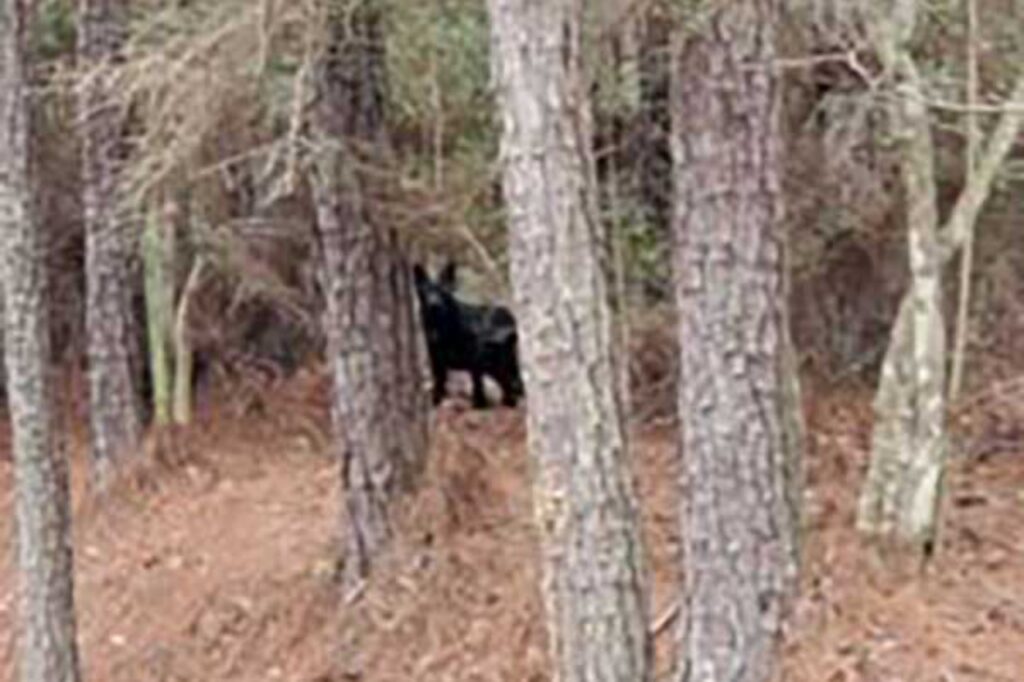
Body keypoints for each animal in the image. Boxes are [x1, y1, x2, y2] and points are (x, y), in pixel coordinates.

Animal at [411, 262, 524, 405]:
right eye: (426, 291)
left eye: (443, 292)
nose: (435, 305)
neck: (442, 326)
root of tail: (510, 317)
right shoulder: (437, 362)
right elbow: (438, 389)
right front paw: (436, 402)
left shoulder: (474, 361)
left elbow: (478, 390)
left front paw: (479, 405)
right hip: (495, 367)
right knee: (512, 387)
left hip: (497, 365)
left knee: (512, 386)